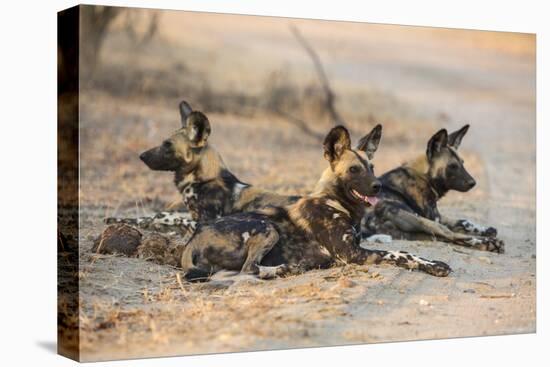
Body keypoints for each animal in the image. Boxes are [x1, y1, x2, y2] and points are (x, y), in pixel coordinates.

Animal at [105, 100, 300, 236]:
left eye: (167, 144)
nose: (141, 156)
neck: (200, 180)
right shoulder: (190, 214)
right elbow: (159, 214)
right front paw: (119, 220)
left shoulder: (206, 221)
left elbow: (173, 218)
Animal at [180, 124, 452, 282]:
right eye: (354, 170)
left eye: (372, 167)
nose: (379, 186)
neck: (336, 203)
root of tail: (193, 239)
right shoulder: (351, 254)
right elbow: (401, 253)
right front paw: (434, 265)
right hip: (267, 227)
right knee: (249, 269)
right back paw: (285, 269)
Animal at [364, 125, 506, 254]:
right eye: (452, 166)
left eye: (462, 163)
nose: (473, 183)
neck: (424, 177)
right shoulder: (434, 219)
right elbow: (457, 226)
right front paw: (485, 235)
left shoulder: (438, 218)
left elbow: (464, 221)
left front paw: (485, 229)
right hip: (420, 220)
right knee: (451, 234)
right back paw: (489, 243)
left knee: (449, 237)